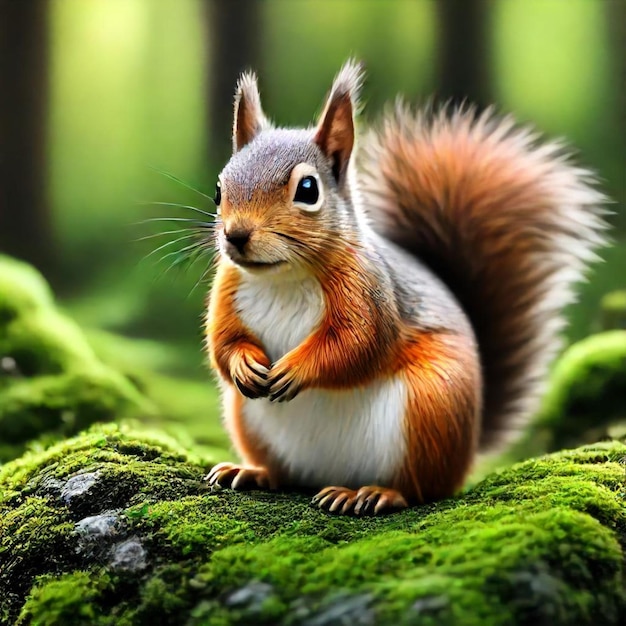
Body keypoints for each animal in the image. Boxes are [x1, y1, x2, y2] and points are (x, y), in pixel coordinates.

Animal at [202, 61, 608, 516]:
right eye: (219, 188)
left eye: (308, 190)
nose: (236, 236)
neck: (284, 277)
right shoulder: (227, 292)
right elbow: (222, 344)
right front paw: (243, 365)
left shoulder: (372, 295)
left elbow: (355, 345)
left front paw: (295, 368)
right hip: (247, 416)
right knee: (285, 472)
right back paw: (253, 472)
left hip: (431, 407)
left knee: (421, 488)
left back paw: (372, 493)